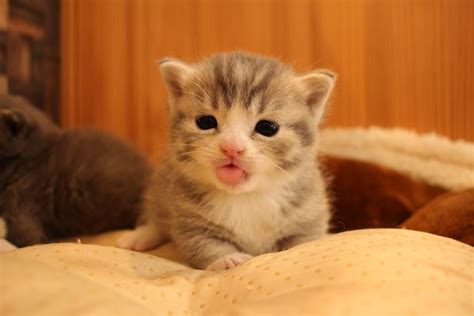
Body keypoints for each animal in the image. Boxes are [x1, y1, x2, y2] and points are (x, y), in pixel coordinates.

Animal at [116, 53, 336, 270]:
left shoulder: (309, 213)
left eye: (267, 127)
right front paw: (227, 259)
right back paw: (140, 236)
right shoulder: (187, 216)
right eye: (205, 122)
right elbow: (202, 243)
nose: (232, 147)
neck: (245, 197)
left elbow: (303, 242)